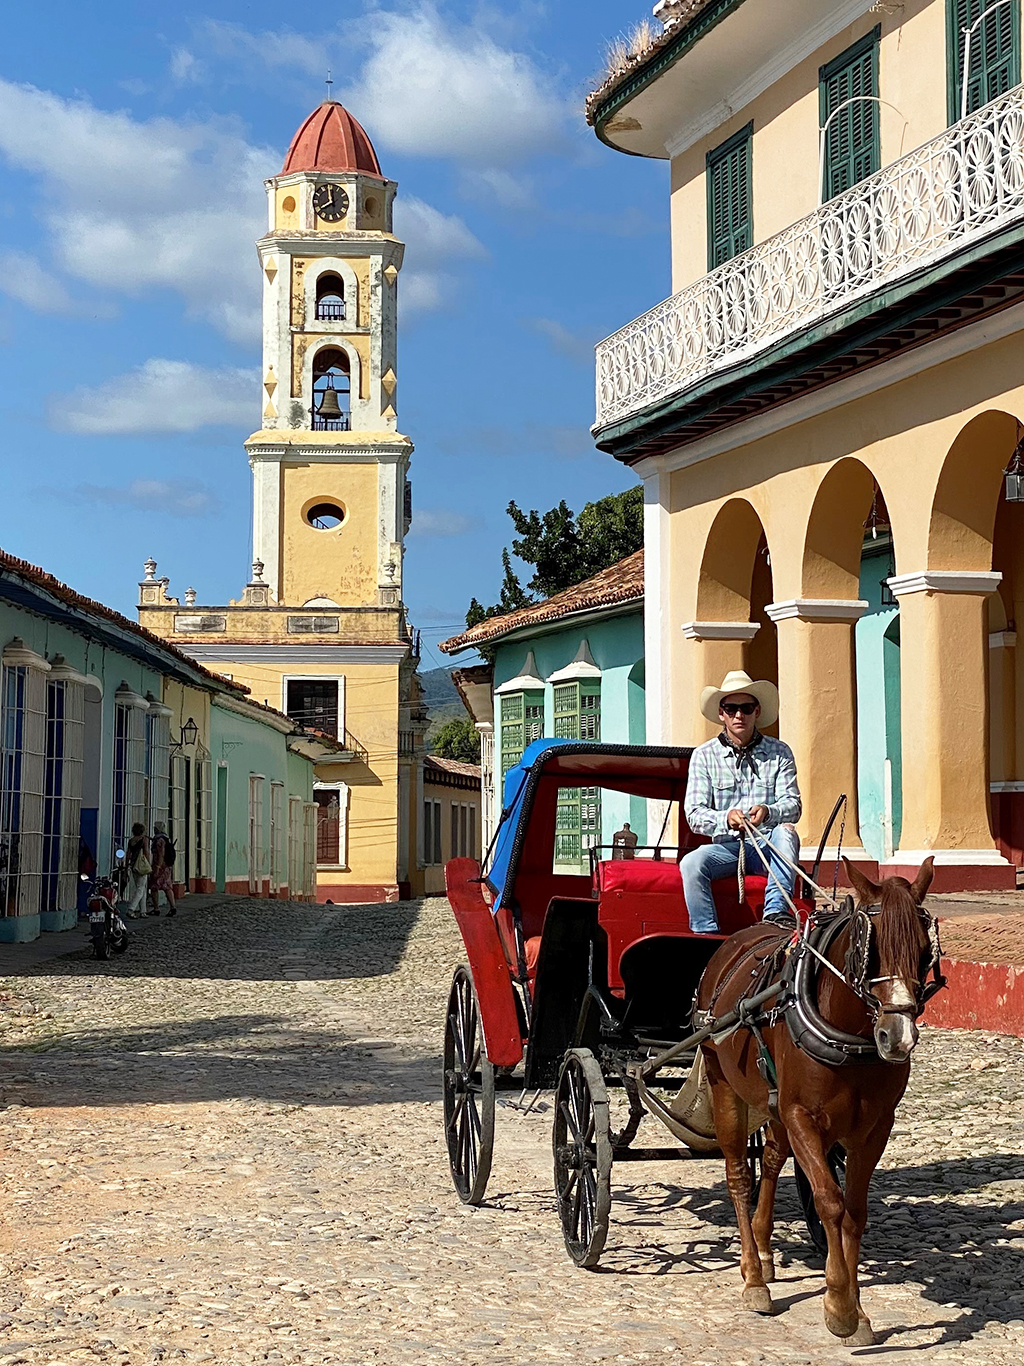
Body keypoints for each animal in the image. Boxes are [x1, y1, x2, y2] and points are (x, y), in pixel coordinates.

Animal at [704, 852, 944, 1344]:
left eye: (924, 951)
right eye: (869, 948)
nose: (897, 1037)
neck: (849, 1036)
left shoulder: (874, 1127)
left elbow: (854, 1211)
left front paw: (859, 1310)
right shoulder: (802, 1116)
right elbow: (829, 1201)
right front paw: (839, 1306)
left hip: (772, 1103)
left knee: (770, 1161)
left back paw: (765, 1253)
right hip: (725, 1088)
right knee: (739, 1176)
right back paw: (753, 1277)